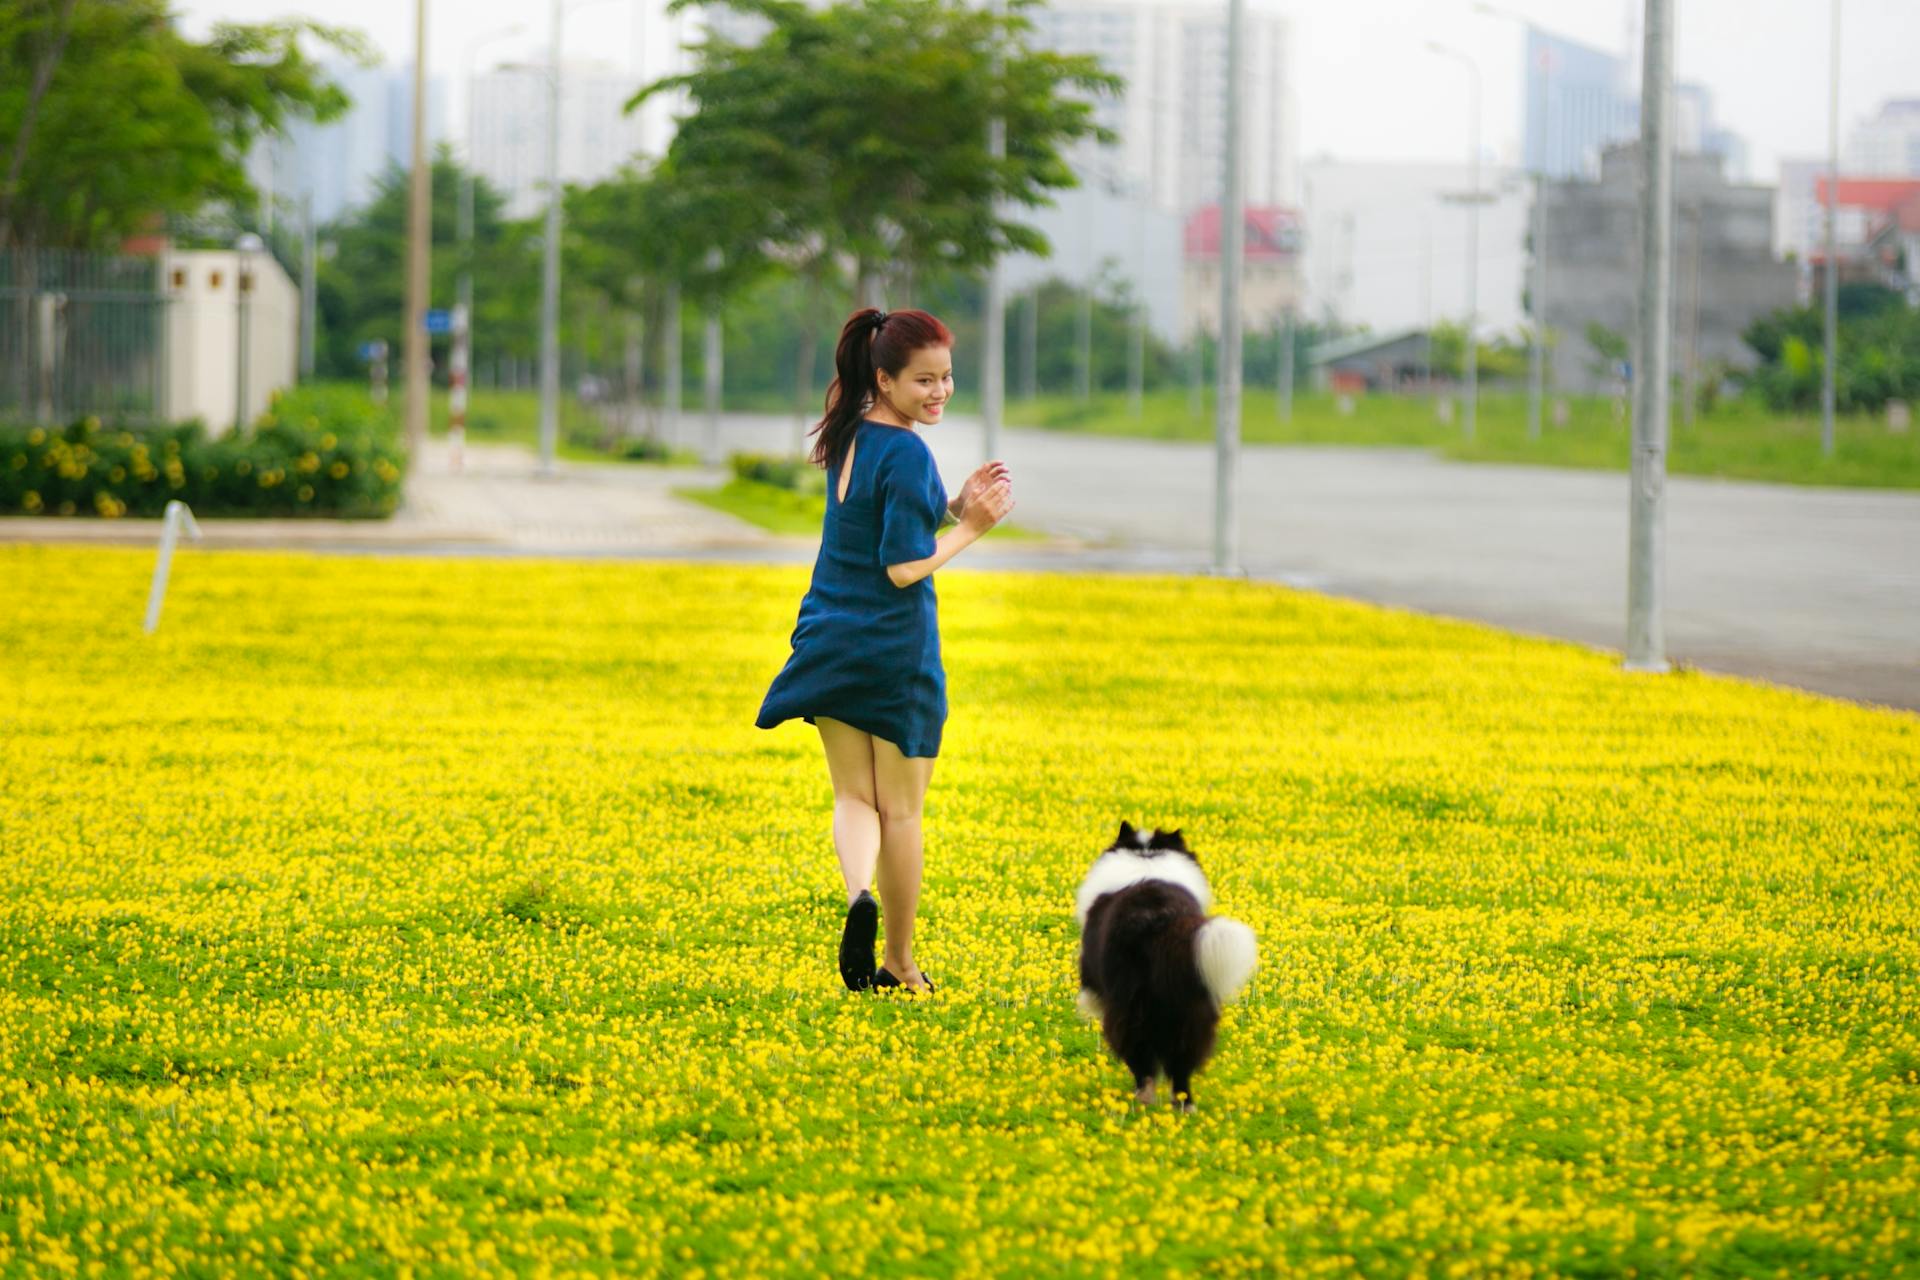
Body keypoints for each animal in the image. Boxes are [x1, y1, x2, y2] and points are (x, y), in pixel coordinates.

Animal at [1082, 825, 1259, 1105]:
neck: (1147, 858)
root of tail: (1161, 918)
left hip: (1131, 1007)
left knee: (1141, 1058)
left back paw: (1143, 1097)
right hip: (1192, 1005)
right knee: (1182, 1063)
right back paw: (1184, 1103)